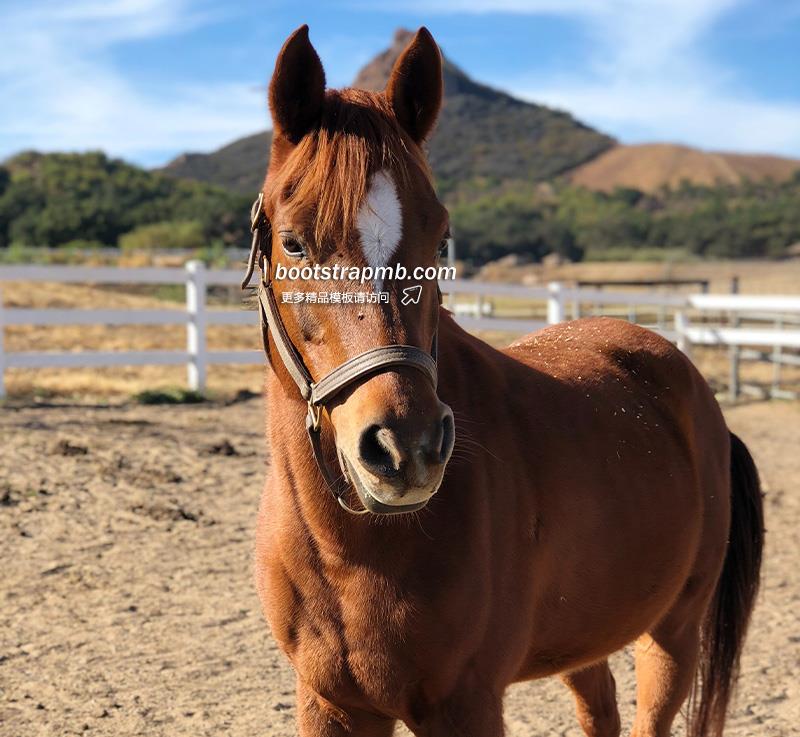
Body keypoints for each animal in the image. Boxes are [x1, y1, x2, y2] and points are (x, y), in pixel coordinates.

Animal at [252, 26, 764, 737]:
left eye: (441, 240)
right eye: (294, 242)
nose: (406, 448)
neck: (350, 552)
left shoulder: (464, 704)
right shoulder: (329, 702)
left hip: (672, 634)